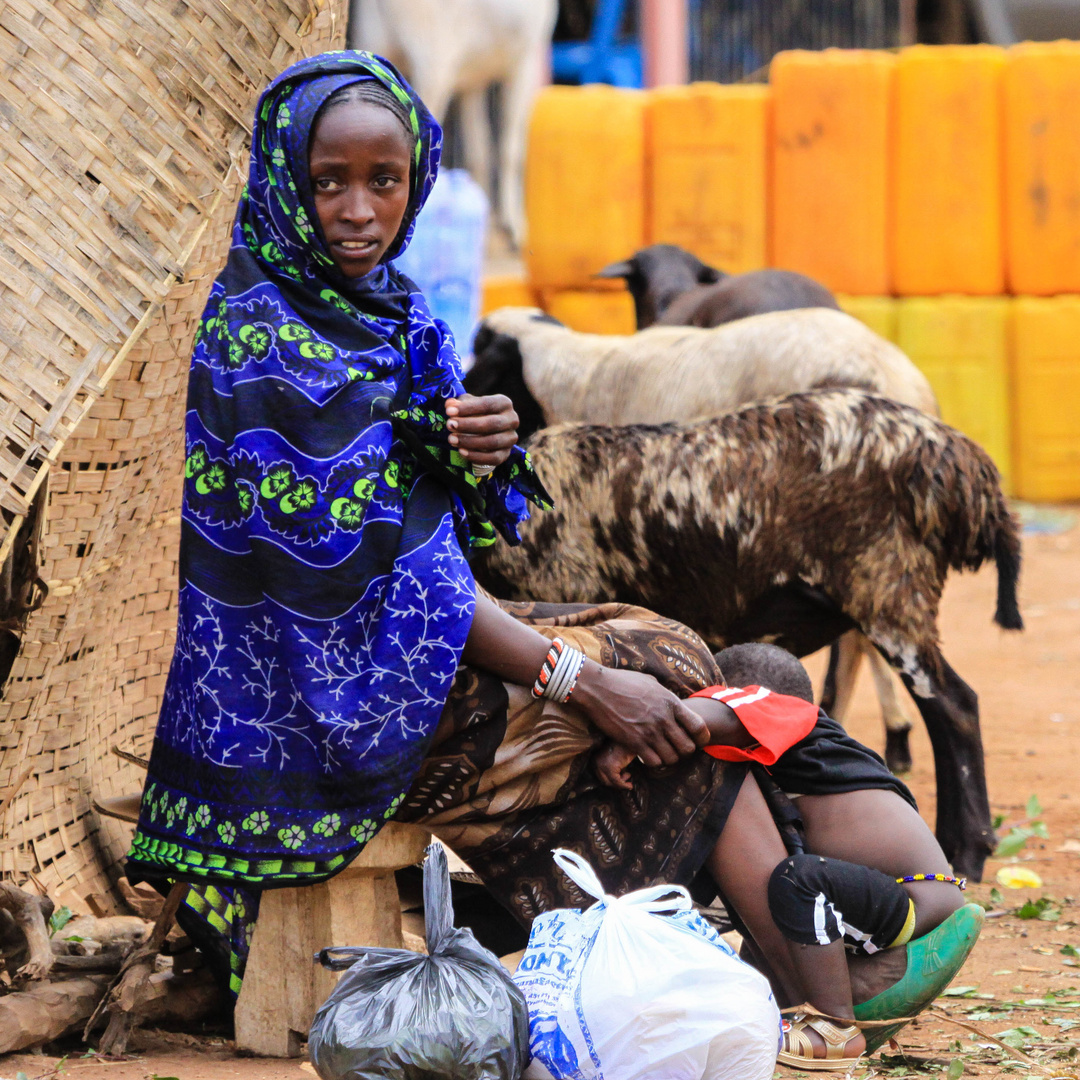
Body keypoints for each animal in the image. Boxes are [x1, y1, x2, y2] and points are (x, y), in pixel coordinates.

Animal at [349, 0, 557, 244]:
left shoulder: (474, 83)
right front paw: (515, 227)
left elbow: (479, 151)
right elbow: (511, 150)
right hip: (432, 66)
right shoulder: (525, 60)